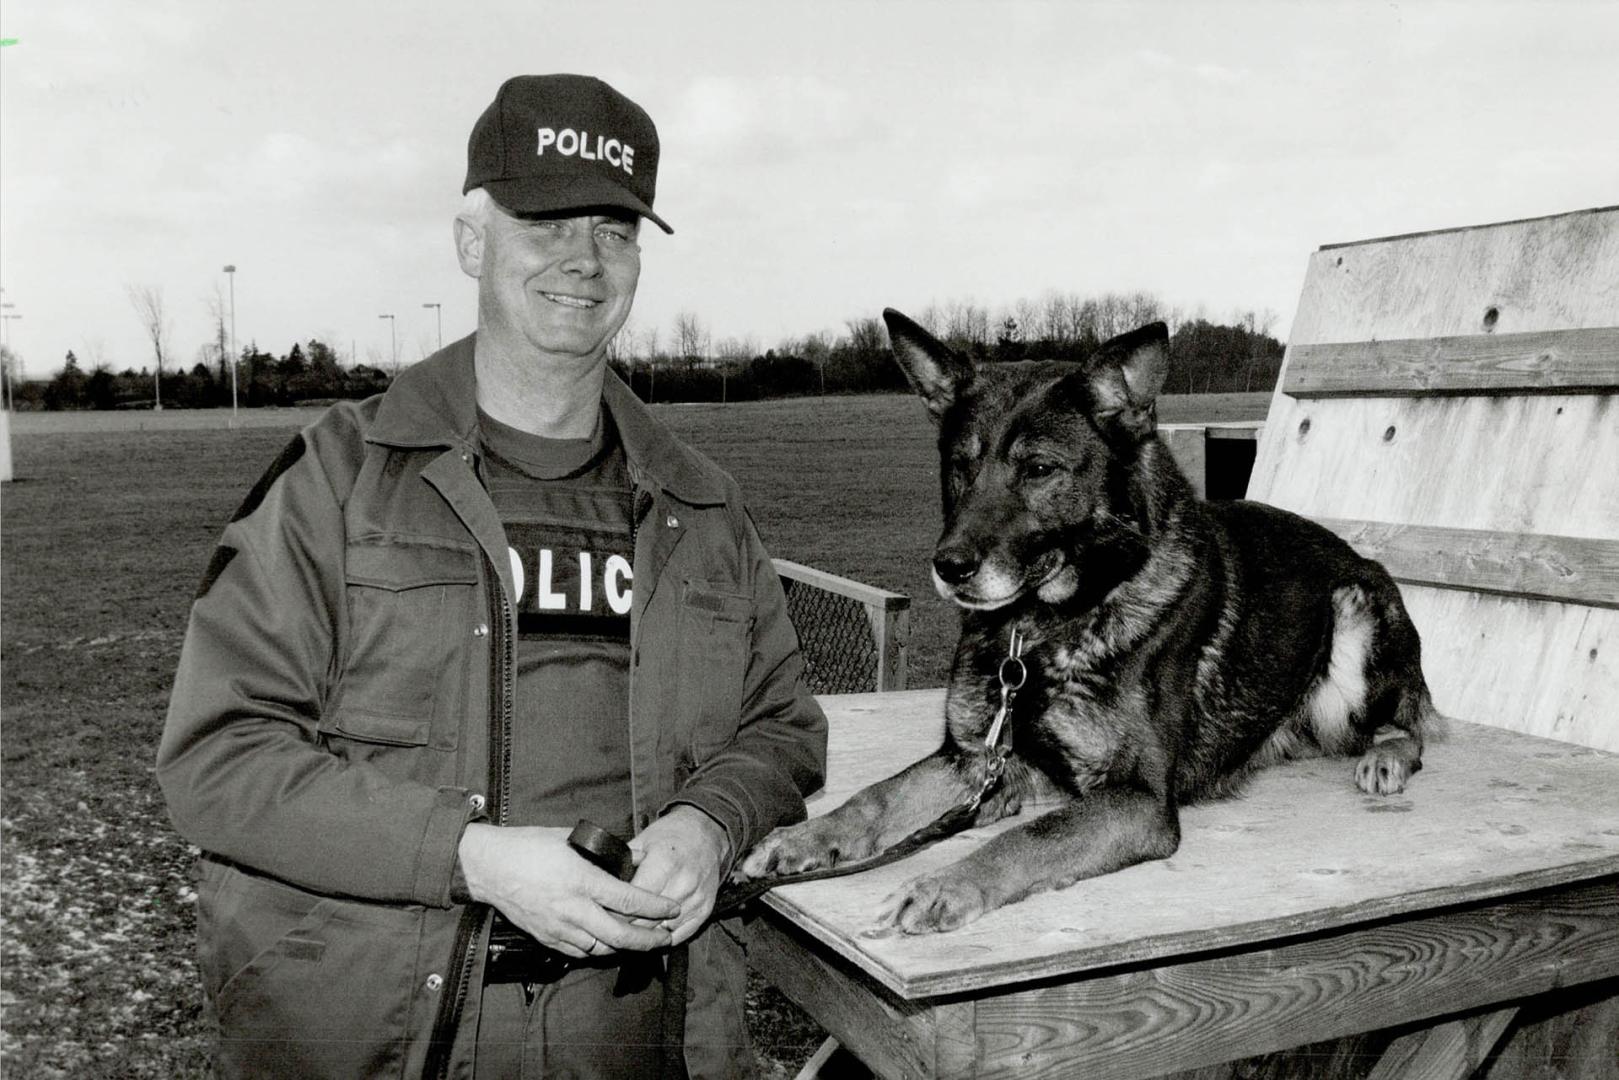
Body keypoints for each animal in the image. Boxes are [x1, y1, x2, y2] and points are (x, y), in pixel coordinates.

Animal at [741, 307, 1437, 932]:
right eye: (960, 465)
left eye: (1039, 469)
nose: (950, 566)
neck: (1039, 632)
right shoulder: (976, 762)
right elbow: (879, 795)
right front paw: (805, 836)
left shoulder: (1136, 799)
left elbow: (1032, 837)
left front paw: (944, 883)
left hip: (1355, 613)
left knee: (1411, 722)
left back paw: (1387, 756)